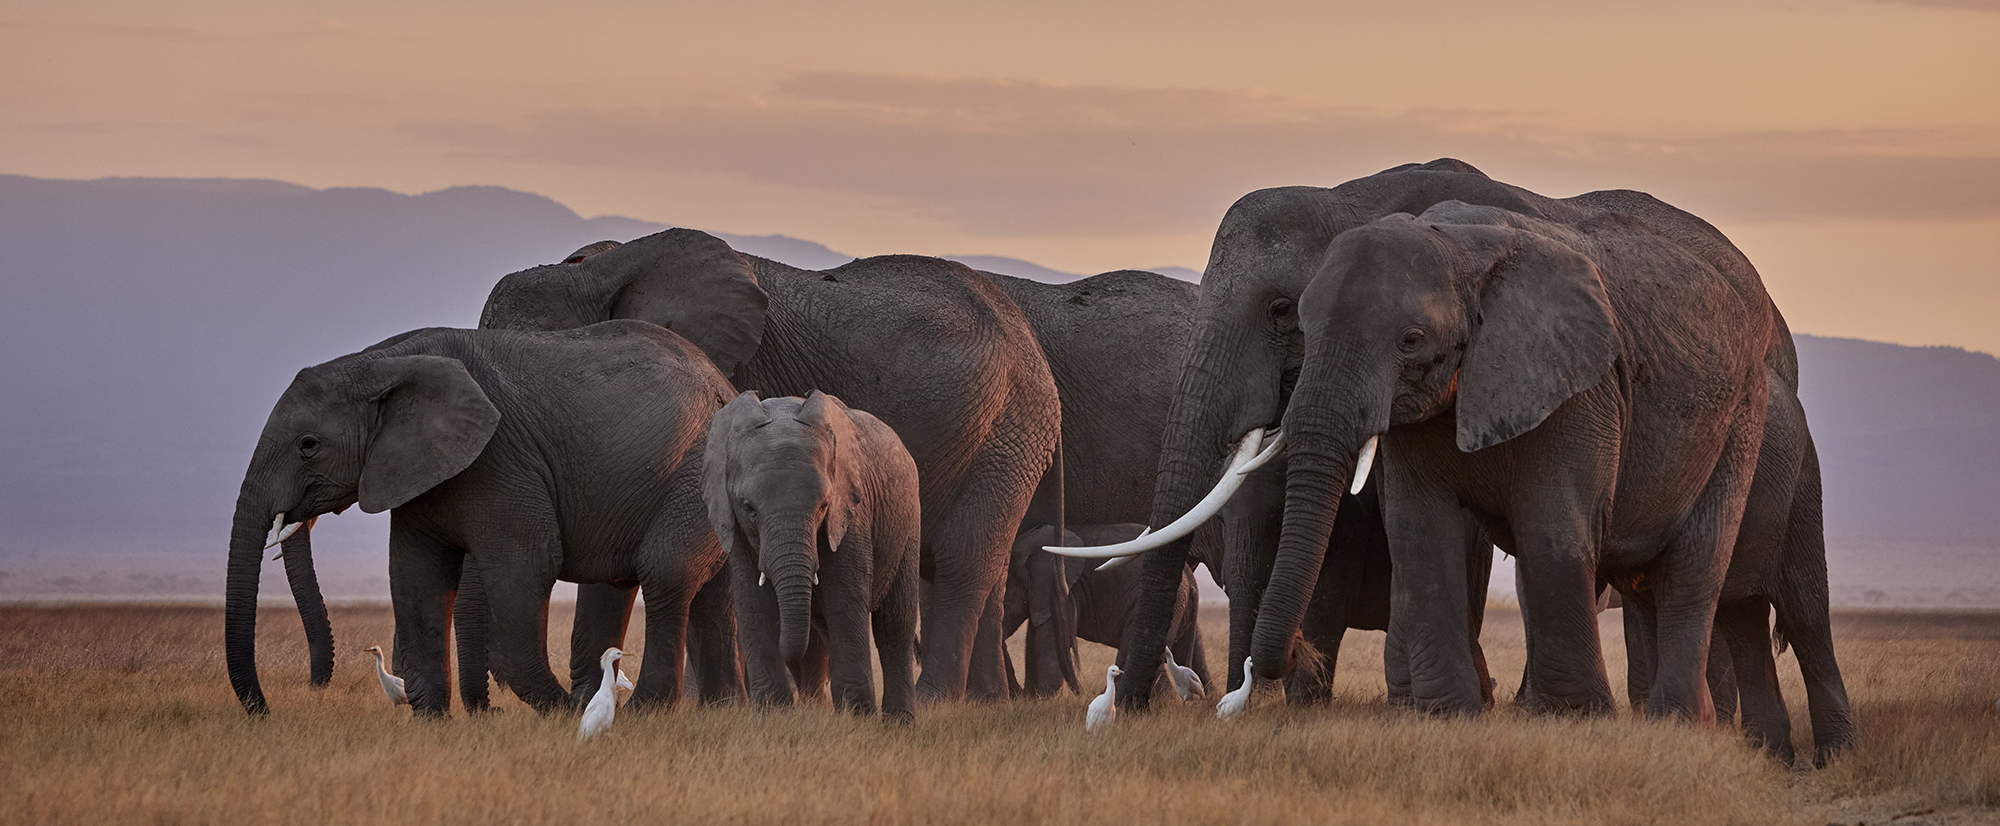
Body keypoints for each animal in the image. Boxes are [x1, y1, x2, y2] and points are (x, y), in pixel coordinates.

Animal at [223, 320, 740, 716]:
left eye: (308, 445)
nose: (265, 710)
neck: (380, 362)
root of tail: (726, 385)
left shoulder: (501, 461)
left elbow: (526, 568)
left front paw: (565, 712)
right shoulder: (418, 472)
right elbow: (414, 577)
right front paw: (434, 722)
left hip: (695, 467)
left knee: (666, 573)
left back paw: (641, 712)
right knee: (711, 588)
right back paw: (719, 711)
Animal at [704, 390, 922, 720]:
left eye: (823, 506)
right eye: (749, 508)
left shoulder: (850, 514)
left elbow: (844, 599)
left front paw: (857, 718)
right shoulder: (734, 525)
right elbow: (753, 602)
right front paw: (774, 714)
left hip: (907, 523)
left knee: (894, 624)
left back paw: (898, 722)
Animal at [1003, 524, 1207, 698]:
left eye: (1004, 603)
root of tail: (1191, 579)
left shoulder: (1063, 589)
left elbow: (1046, 640)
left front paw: (1043, 700)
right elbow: (1034, 635)